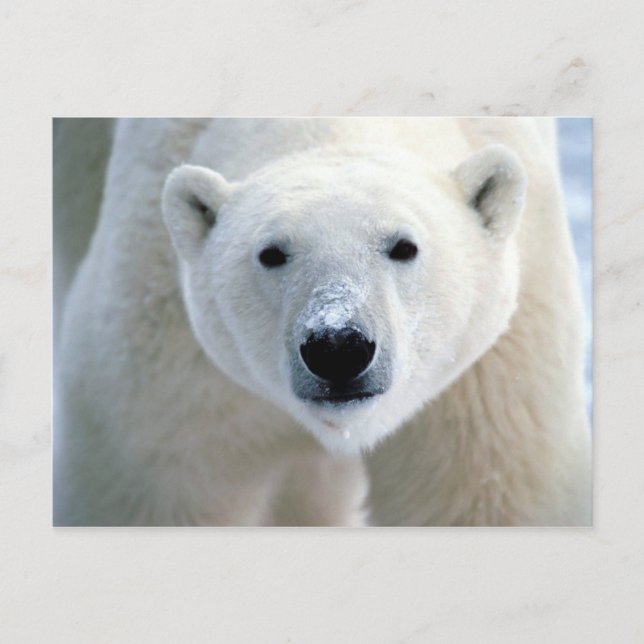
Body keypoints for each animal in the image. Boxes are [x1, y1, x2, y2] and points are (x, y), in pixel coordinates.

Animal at [53, 117, 591, 526]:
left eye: (404, 246)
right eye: (271, 253)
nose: (338, 347)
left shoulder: (491, 378)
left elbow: (481, 494)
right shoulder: (166, 357)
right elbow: (157, 487)